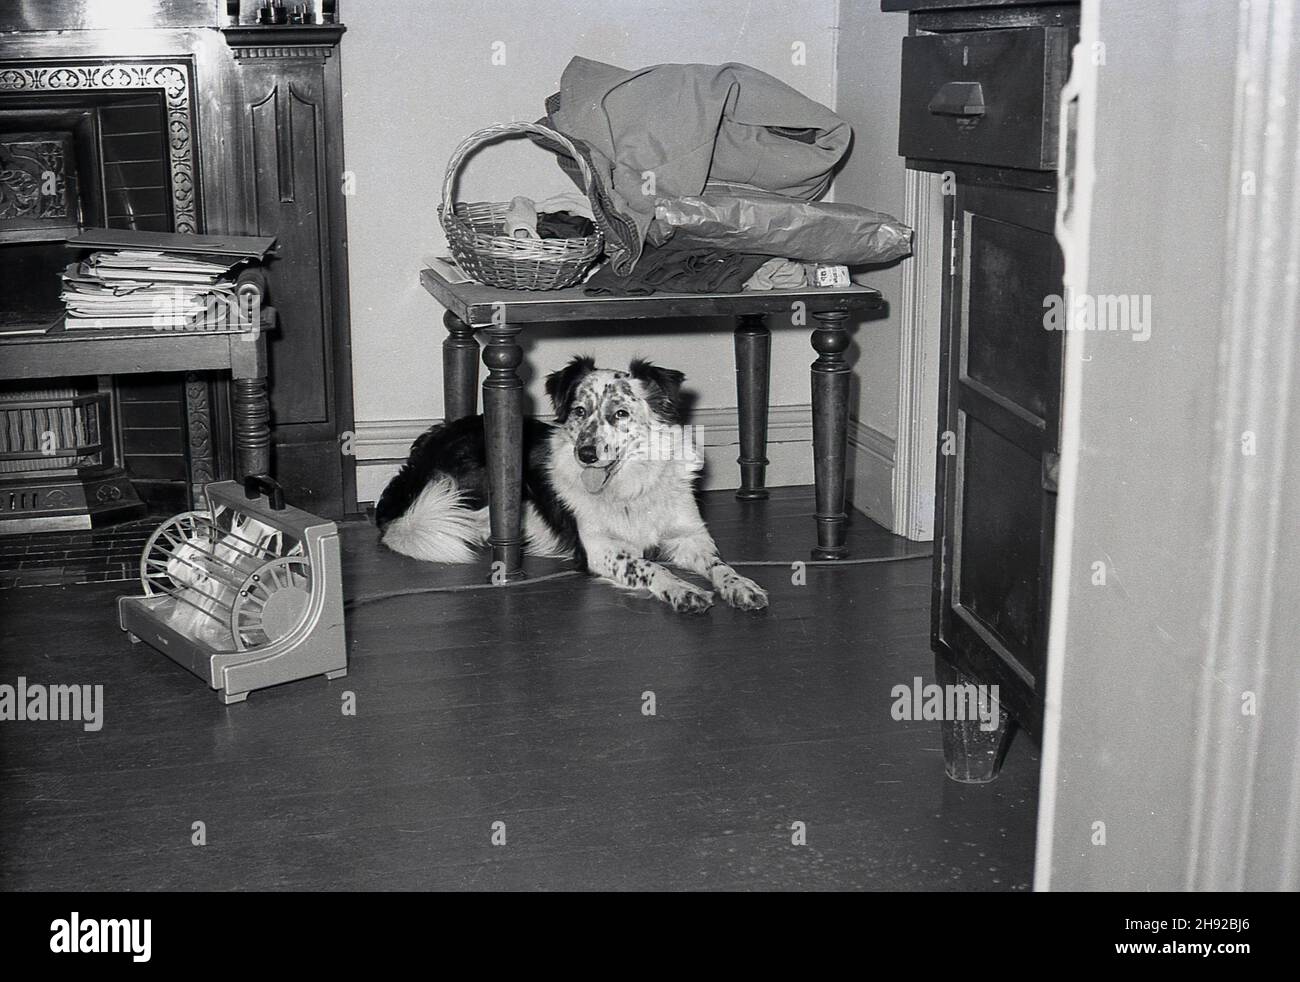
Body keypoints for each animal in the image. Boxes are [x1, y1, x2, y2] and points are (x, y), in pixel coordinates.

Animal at [371, 353, 764, 613]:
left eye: (620, 414)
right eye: (579, 411)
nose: (586, 454)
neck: (629, 488)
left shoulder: (690, 535)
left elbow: (720, 565)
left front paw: (741, 585)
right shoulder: (600, 549)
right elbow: (650, 565)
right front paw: (681, 589)